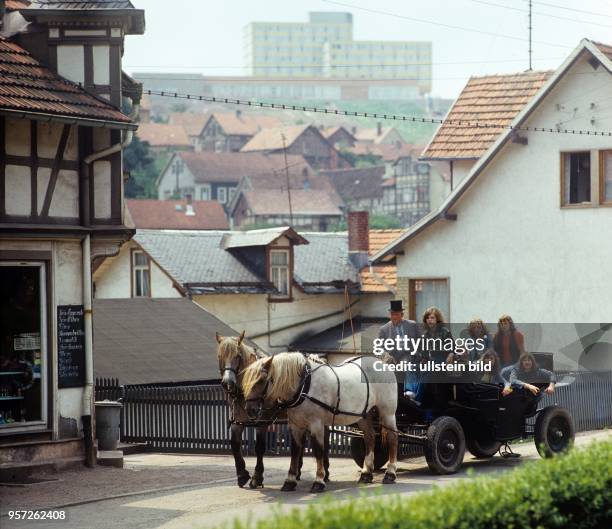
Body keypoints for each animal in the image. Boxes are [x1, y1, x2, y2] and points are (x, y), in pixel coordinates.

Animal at [241, 350, 400, 490]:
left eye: (261, 380)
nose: (249, 410)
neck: (305, 385)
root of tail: (382, 363)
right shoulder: (295, 426)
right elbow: (295, 451)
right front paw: (290, 481)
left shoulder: (316, 424)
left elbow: (318, 451)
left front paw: (319, 481)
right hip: (363, 415)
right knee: (370, 437)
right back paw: (366, 473)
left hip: (388, 413)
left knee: (392, 438)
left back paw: (390, 473)